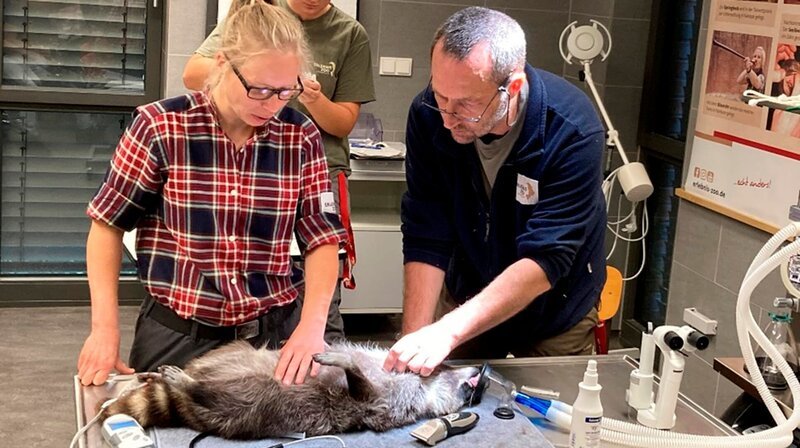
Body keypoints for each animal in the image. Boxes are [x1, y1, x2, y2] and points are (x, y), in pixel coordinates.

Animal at [98, 342, 476, 440]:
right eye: (468, 393)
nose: (481, 371)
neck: (427, 385)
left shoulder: (386, 404)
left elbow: (363, 393)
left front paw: (347, 365)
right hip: (234, 351)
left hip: (249, 409)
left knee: (233, 398)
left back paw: (194, 388)